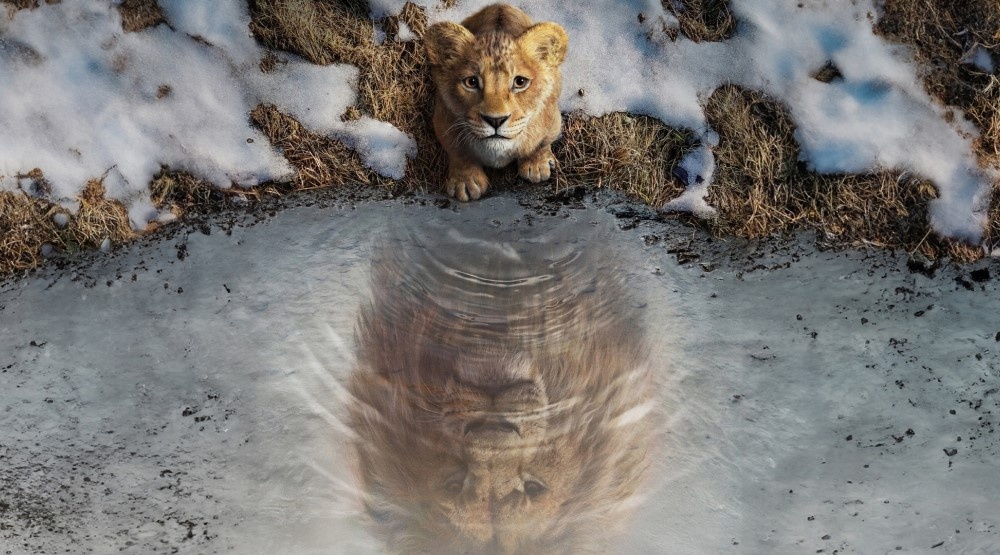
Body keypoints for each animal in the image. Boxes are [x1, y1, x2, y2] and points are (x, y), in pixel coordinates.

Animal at [424, 4, 569, 201]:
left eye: (520, 82)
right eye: (471, 82)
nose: (495, 120)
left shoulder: (552, 119)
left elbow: (541, 143)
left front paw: (536, 165)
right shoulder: (443, 120)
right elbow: (458, 152)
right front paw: (466, 181)